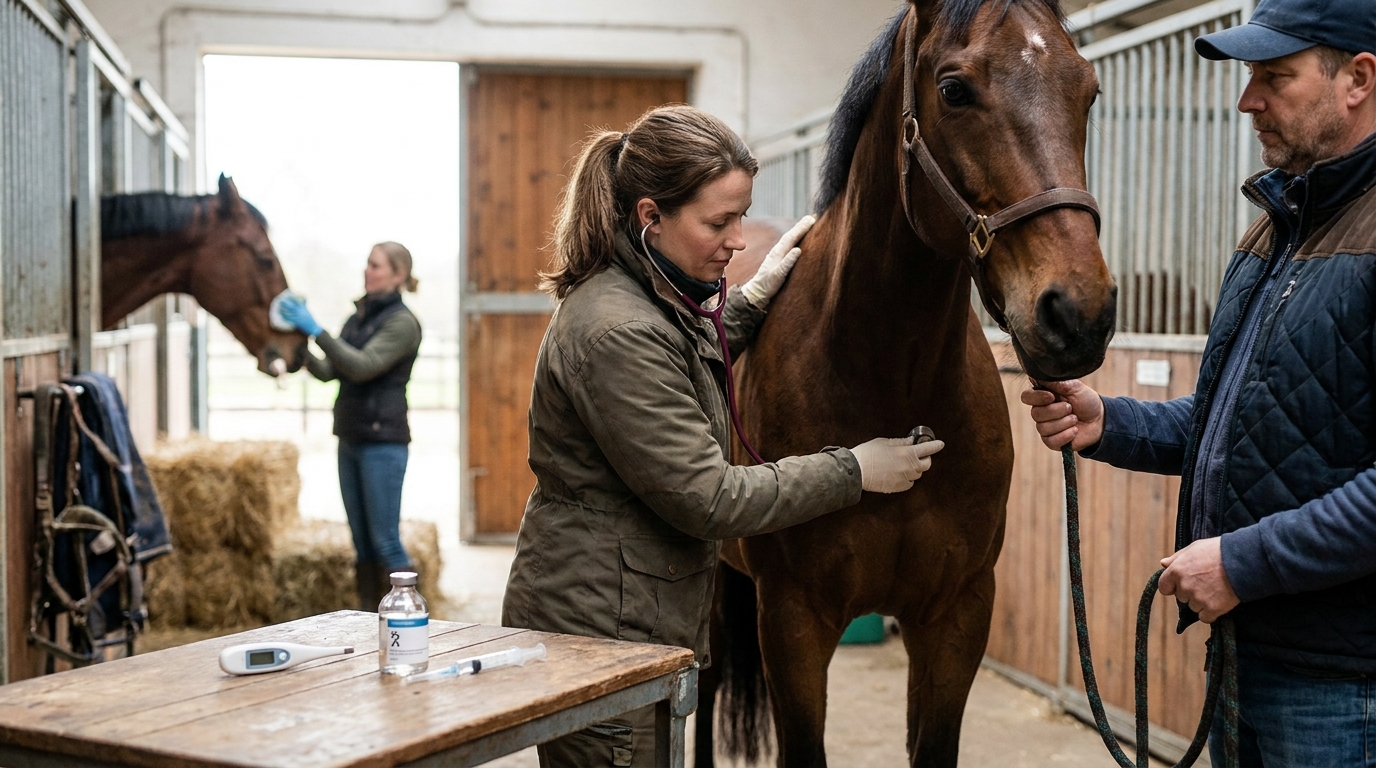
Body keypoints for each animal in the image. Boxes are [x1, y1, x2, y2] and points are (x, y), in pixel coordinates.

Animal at [707, 0, 1115, 765]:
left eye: (1089, 90)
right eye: (954, 90)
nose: (1080, 315)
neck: (891, 387)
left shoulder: (956, 616)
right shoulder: (793, 622)